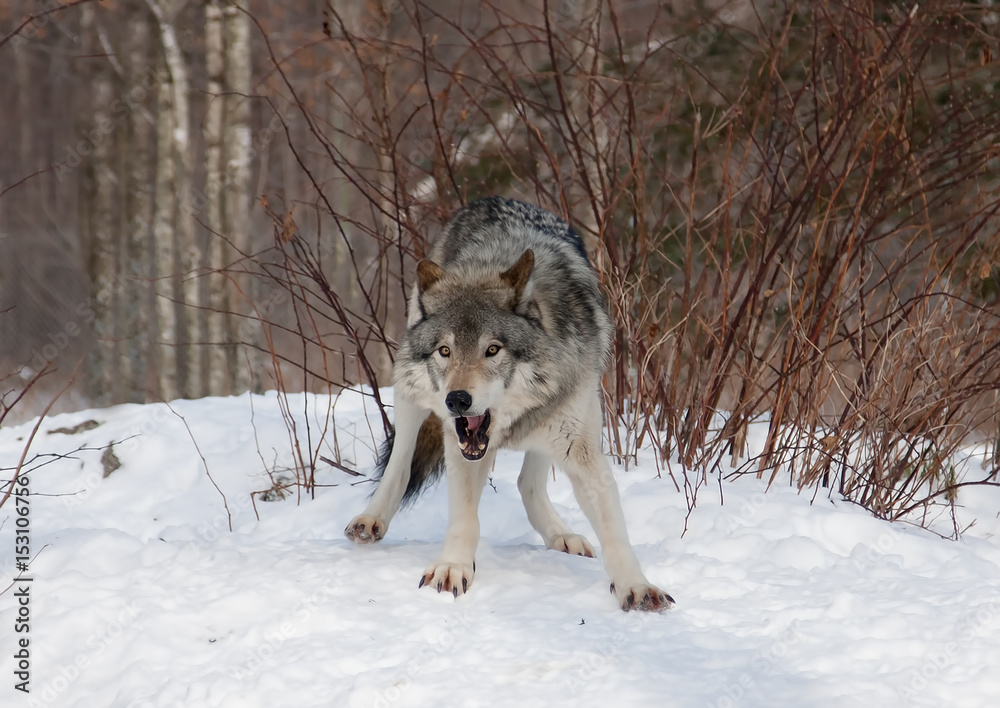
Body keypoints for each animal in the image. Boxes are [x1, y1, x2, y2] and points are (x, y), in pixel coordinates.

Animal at [345, 197, 673, 612]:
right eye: (445, 351)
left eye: (493, 350)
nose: (457, 399)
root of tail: (491, 199)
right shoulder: (461, 444)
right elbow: (465, 518)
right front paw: (453, 568)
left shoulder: (580, 450)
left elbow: (614, 531)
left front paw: (637, 587)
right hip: (410, 396)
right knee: (400, 465)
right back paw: (372, 520)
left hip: (571, 418)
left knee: (526, 482)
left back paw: (561, 535)